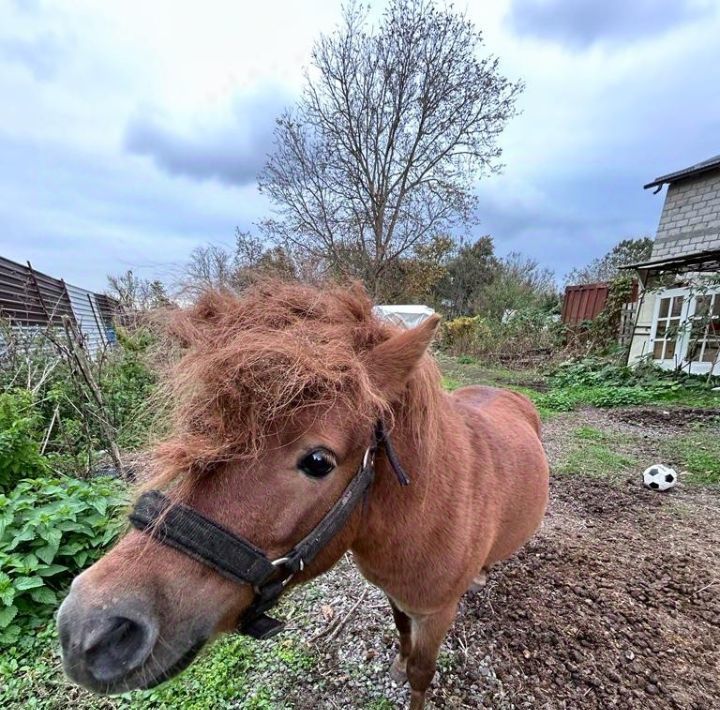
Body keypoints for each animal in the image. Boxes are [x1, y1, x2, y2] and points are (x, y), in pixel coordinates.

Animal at [59, 280, 548, 708]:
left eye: (318, 462)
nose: (89, 629)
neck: (429, 515)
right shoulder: (397, 598)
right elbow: (402, 635)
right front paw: (397, 661)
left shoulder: (436, 613)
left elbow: (421, 675)